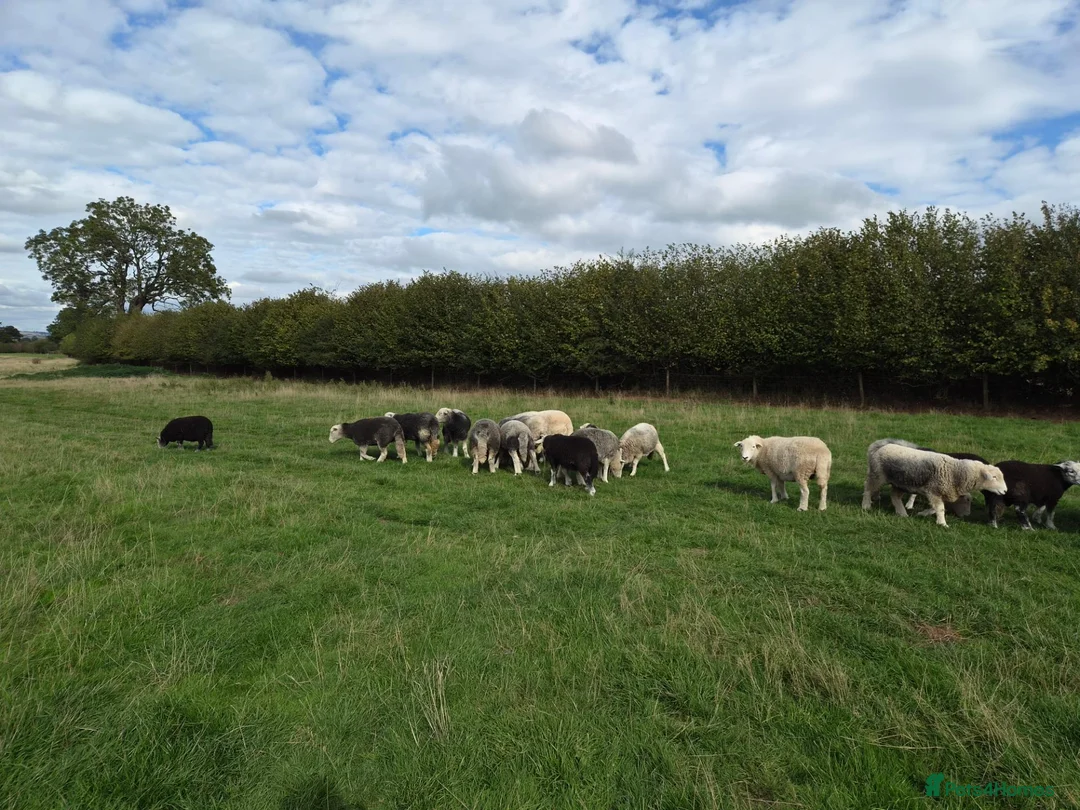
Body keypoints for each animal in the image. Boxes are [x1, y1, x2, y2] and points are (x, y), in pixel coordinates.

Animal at [861, 441, 1006, 527]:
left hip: (901, 483)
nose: (1005, 491)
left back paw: (902, 513)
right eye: (994, 477)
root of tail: (882, 446)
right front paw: (942, 523)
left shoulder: (939, 492)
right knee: (868, 488)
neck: (957, 472)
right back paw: (866, 505)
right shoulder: (934, 490)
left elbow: (937, 507)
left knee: (895, 496)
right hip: (877, 475)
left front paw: (924, 514)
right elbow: (940, 508)